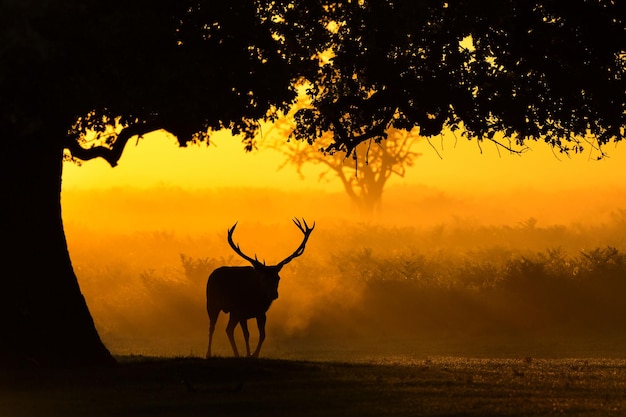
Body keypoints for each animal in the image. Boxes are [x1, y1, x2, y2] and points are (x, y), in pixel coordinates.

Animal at [204, 218, 312, 358]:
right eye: (263, 277)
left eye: (278, 278)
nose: (273, 294)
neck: (255, 301)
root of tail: (212, 274)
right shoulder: (241, 311)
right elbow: (247, 334)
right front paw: (248, 354)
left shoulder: (261, 313)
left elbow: (262, 335)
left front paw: (254, 354)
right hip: (212, 303)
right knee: (212, 327)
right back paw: (209, 353)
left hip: (232, 312)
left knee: (228, 329)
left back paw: (236, 354)